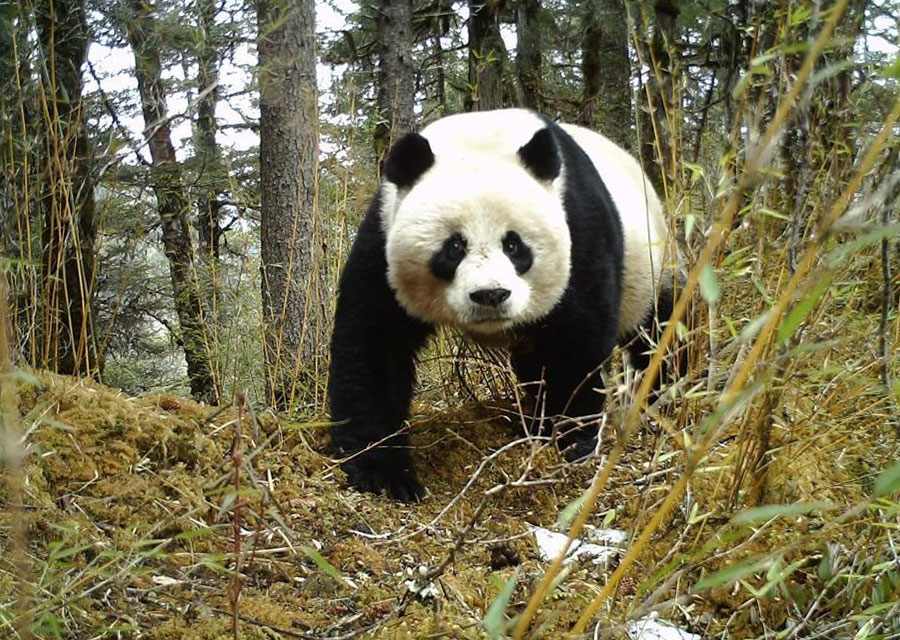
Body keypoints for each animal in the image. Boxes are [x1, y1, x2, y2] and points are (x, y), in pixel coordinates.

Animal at [328, 109, 676, 500]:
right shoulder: (383, 240)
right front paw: (383, 473)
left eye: (514, 245)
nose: (490, 295)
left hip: (653, 264)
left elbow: (577, 342)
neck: (481, 136)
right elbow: (375, 343)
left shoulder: (580, 231)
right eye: (454, 247)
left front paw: (570, 441)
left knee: (657, 332)